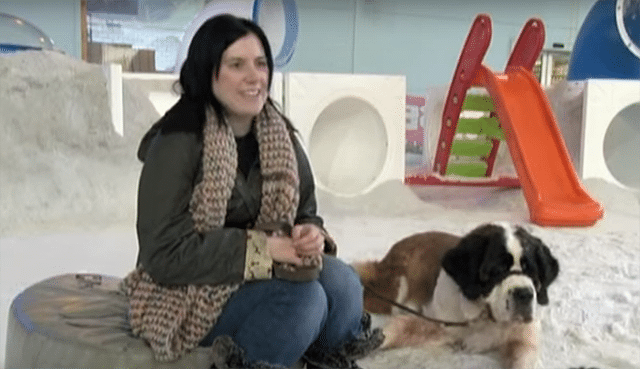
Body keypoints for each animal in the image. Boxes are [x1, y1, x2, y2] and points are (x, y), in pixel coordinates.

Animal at [356, 221, 560, 368]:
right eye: (497, 271)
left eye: (533, 273)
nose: (524, 294)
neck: (484, 317)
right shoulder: (437, 325)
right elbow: (398, 329)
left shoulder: (525, 339)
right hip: (394, 289)